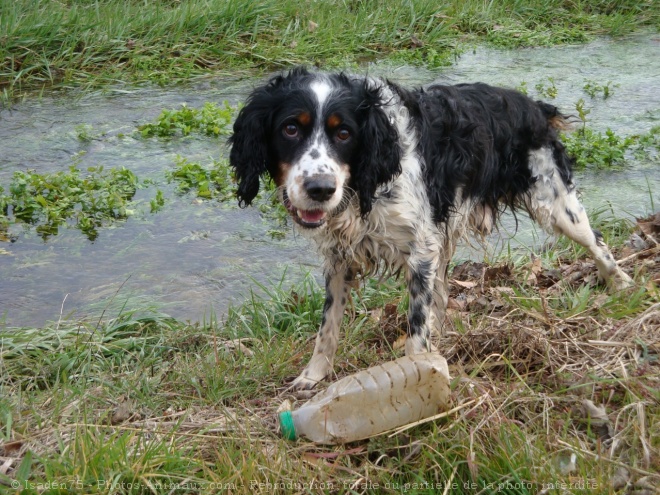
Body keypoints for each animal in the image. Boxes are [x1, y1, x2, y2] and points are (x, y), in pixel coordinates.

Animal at [228, 67, 636, 392]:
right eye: (290, 128)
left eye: (343, 133)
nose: (320, 189)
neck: (368, 183)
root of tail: (533, 106)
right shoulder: (340, 257)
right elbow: (328, 326)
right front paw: (313, 376)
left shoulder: (420, 252)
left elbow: (416, 327)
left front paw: (416, 374)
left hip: (557, 206)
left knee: (598, 243)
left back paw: (623, 286)